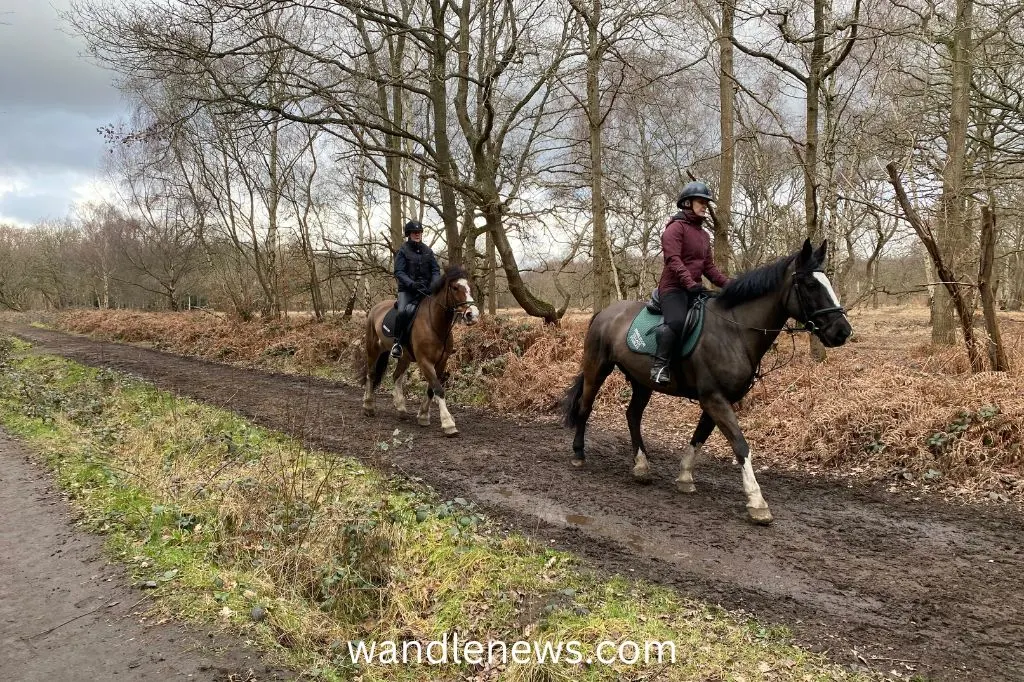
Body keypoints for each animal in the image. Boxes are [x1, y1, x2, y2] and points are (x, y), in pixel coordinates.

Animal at [360, 264, 479, 436]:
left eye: (470, 286)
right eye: (455, 287)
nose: (472, 315)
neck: (435, 324)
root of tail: (376, 308)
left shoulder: (441, 362)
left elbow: (431, 389)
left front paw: (423, 415)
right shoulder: (425, 362)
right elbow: (438, 388)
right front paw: (448, 423)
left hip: (404, 357)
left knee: (396, 376)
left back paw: (401, 408)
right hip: (373, 349)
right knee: (371, 374)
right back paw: (368, 406)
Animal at [557, 236, 851, 522]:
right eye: (811, 284)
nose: (842, 331)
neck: (734, 331)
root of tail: (606, 312)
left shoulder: (719, 399)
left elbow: (699, 436)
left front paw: (685, 476)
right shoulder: (714, 399)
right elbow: (740, 445)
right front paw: (757, 502)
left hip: (642, 381)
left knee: (633, 415)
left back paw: (641, 465)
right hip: (597, 369)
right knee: (586, 407)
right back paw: (579, 454)